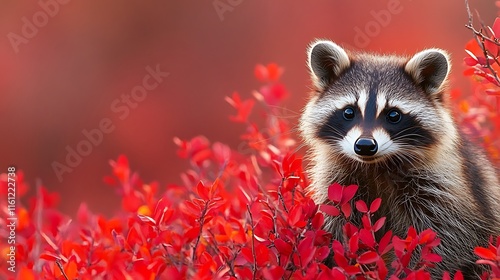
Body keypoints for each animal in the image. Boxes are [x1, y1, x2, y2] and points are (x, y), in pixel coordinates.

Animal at [298, 40, 500, 278]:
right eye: (349, 112)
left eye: (393, 115)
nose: (364, 145)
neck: (376, 164)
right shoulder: (337, 181)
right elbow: (337, 225)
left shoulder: (444, 184)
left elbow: (446, 238)